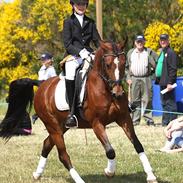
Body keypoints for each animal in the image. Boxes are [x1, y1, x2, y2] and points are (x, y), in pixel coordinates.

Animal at [0, 40, 157, 182]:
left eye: (124, 64)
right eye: (108, 65)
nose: (117, 93)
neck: (105, 89)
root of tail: (42, 84)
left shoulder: (124, 118)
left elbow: (138, 145)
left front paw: (150, 175)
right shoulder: (97, 124)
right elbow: (110, 151)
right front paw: (109, 171)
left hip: (61, 127)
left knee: (46, 144)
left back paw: (37, 174)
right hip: (53, 126)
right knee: (63, 155)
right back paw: (78, 179)